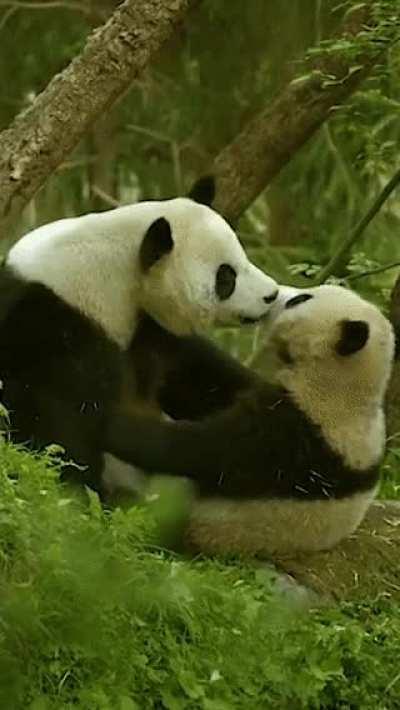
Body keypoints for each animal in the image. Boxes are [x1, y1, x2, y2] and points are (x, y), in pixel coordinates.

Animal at [0, 177, 279, 497]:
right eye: (226, 276)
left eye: (242, 256)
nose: (271, 295)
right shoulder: (61, 334)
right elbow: (64, 433)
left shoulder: (150, 327)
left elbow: (198, 376)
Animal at [110, 285, 395, 556]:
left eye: (299, 299)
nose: (275, 295)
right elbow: (206, 383)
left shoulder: (296, 438)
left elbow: (201, 451)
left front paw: (112, 423)